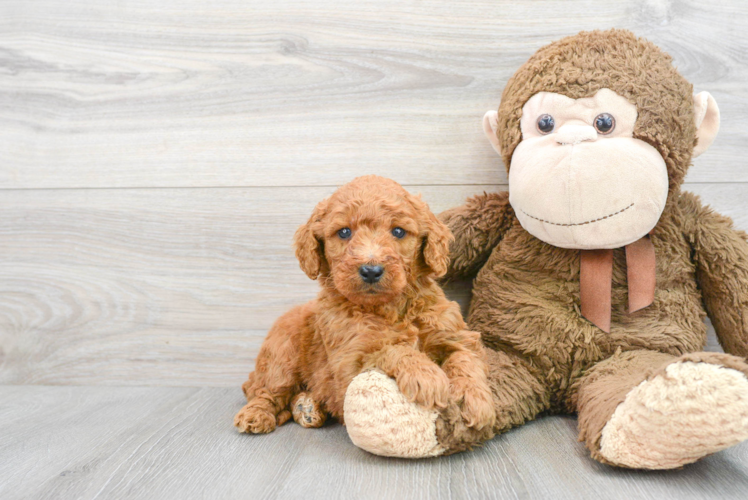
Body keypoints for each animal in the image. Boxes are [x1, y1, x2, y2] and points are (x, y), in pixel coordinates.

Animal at [231, 176, 494, 434]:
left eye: (398, 231)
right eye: (344, 232)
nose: (371, 270)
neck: (389, 307)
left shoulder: (455, 334)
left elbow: (465, 358)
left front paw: (475, 400)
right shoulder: (349, 363)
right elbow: (389, 349)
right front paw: (426, 375)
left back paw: (308, 407)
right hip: (281, 356)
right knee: (264, 390)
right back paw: (256, 415)